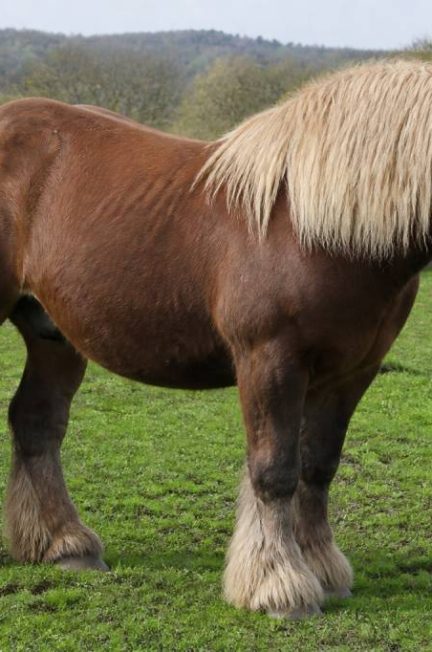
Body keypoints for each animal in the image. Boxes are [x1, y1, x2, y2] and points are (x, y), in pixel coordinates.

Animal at [0, 59, 430, 619]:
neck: (314, 226)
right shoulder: (269, 360)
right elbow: (274, 471)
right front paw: (278, 585)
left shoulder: (350, 374)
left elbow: (317, 467)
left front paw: (321, 568)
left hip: (53, 334)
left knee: (37, 422)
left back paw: (65, 545)